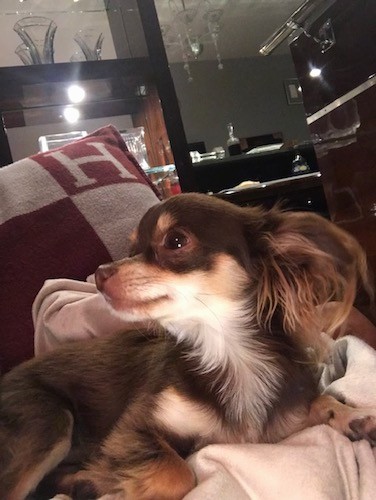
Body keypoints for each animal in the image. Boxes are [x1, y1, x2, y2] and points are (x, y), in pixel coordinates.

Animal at [0, 192, 376, 500]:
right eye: (131, 250)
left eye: (176, 241)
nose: (100, 274)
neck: (226, 351)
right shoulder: (131, 429)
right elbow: (178, 473)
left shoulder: (286, 417)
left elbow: (322, 400)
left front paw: (354, 416)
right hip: (48, 420)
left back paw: (85, 482)